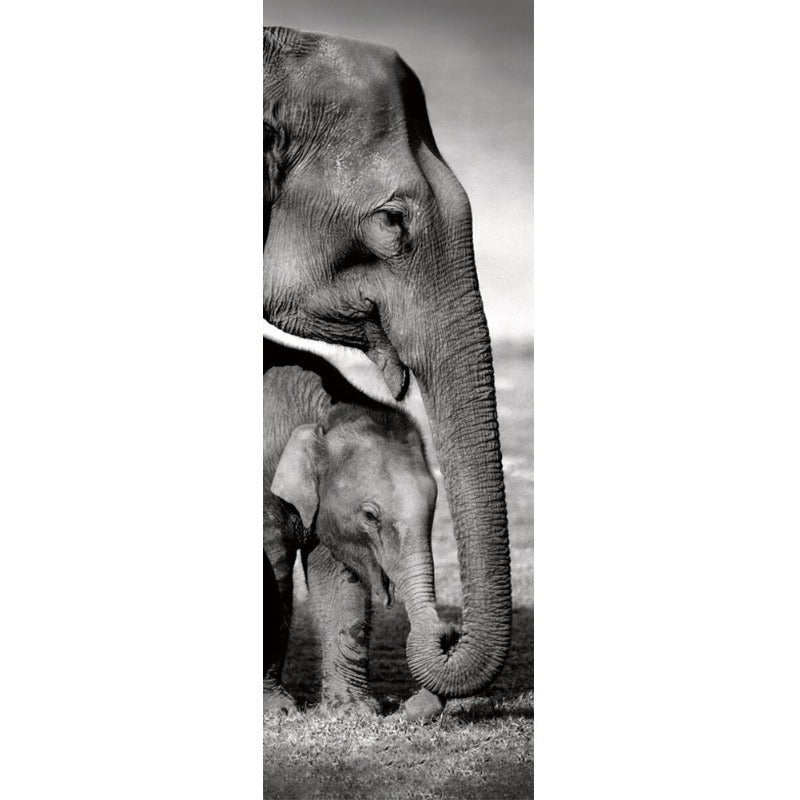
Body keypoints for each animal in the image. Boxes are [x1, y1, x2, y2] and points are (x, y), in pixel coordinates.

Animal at [263, 347, 448, 721]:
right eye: (370, 515)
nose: (448, 636)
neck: (324, 413)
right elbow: (274, 570)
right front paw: (277, 710)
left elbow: (337, 578)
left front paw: (353, 711)